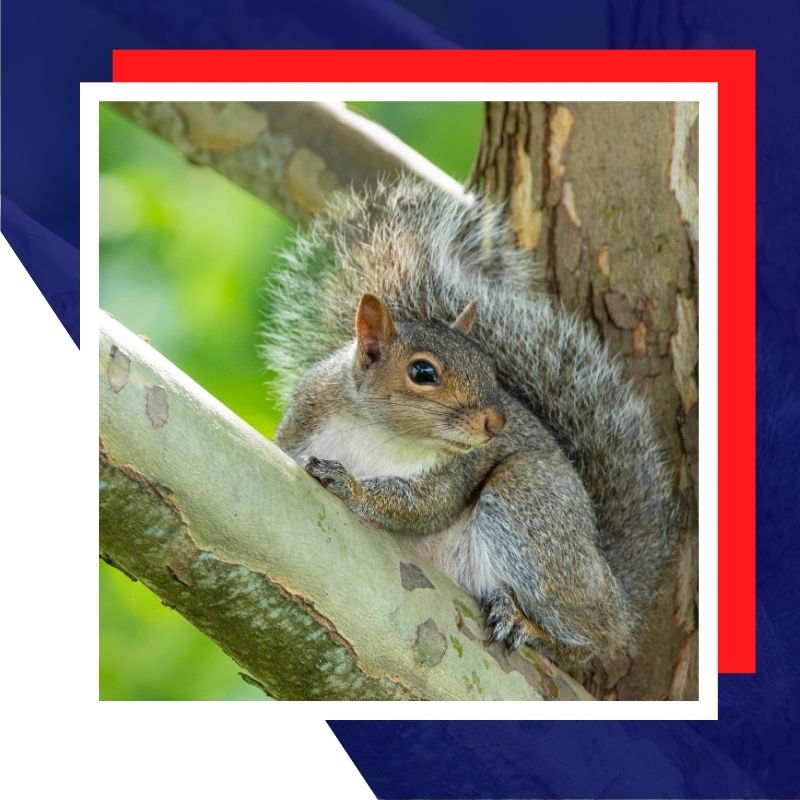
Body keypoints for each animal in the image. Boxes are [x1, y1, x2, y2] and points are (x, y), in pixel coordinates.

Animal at [261, 177, 677, 671]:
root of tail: (615, 591)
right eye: (423, 372)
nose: (497, 421)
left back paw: (532, 628)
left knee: (590, 640)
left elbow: (421, 506)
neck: (378, 432)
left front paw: (351, 486)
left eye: (489, 367)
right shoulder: (306, 416)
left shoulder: (454, 472)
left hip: (528, 503)